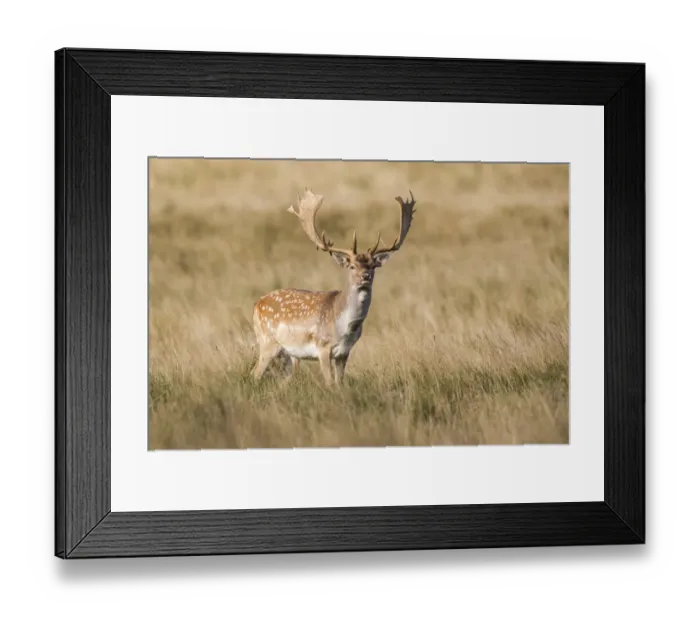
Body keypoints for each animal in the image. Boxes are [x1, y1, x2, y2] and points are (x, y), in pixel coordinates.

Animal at [251, 188, 417, 386]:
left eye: (372, 266)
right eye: (351, 266)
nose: (365, 276)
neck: (344, 328)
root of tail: (256, 305)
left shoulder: (344, 353)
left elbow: (340, 383)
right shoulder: (322, 347)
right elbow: (329, 383)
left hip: (288, 354)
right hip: (268, 342)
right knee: (254, 373)